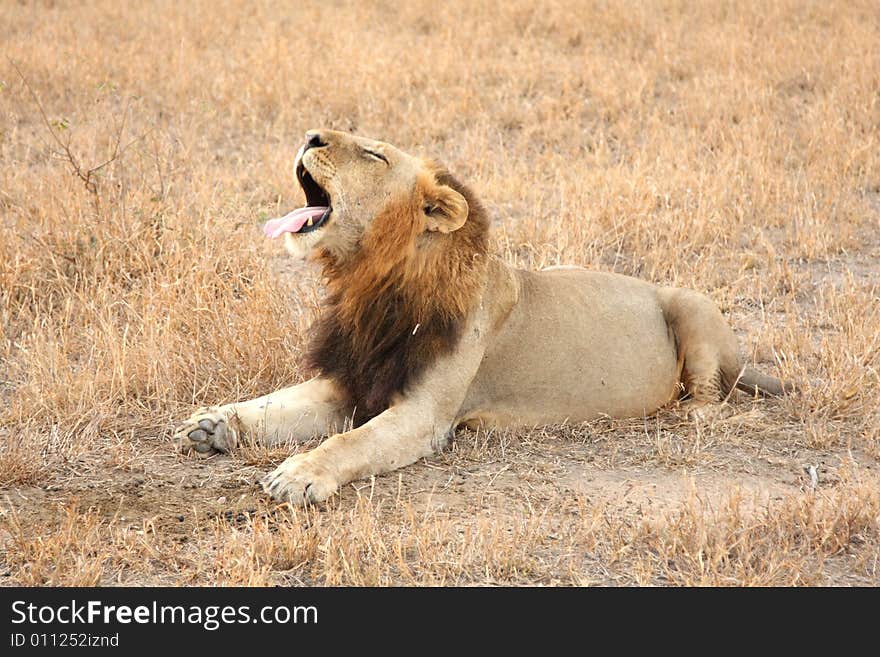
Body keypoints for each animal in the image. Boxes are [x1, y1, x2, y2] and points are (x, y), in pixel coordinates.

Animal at [175, 131, 796, 504]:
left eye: (374, 154)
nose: (310, 135)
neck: (375, 285)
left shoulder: (423, 417)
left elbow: (350, 443)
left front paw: (300, 474)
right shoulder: (350, 382)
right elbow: (276, 403)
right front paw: (214, 424)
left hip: (690, 302)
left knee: (711, 396)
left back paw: (689, 412)